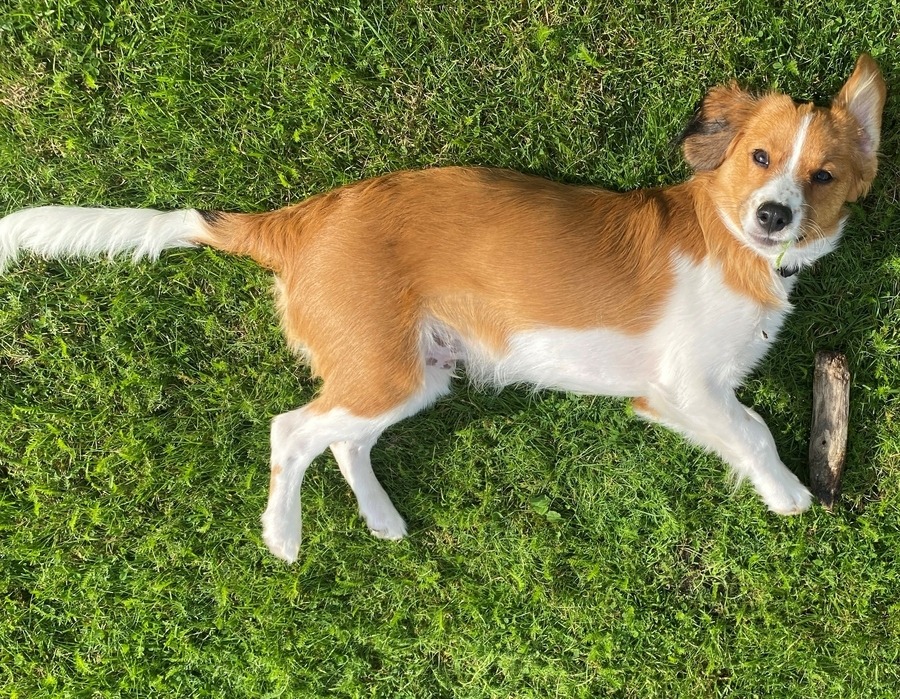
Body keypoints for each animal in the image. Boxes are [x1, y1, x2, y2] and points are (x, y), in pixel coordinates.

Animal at [0, 57, 884, 568]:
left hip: (414, 370)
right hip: (386, 369)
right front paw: (789, 491)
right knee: (293, 429)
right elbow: (756, 429)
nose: (774, 214)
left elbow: (735, 432)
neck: (737, 244)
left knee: (343, 439)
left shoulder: (672, 396)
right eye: (760, 158)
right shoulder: (687, 383)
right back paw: (282, 535)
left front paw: (772, 488)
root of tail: (301, 221)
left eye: (824, 175)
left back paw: (382, 519)